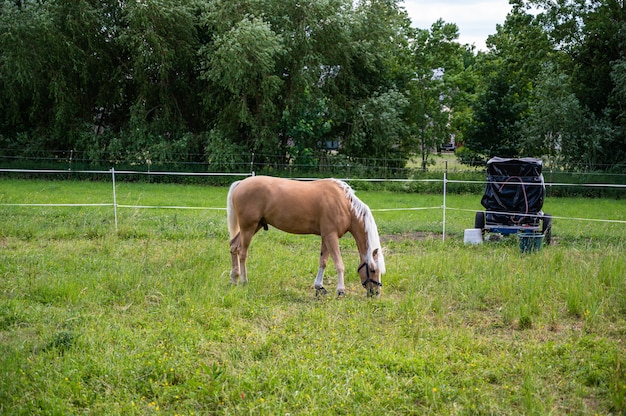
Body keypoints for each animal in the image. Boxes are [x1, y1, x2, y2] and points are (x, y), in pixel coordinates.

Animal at [227, 176, 382, 296]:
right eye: (373, 270)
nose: (376, 293)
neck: (344, 204)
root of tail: (241, 183)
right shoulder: (331, 236)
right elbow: (339, 264)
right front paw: (341, 290)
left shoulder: (326, 236)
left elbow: (323, 262)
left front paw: (319, 287)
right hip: (248, 227)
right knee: (243, 253)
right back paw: (244, 281)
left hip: (254, 226)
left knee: (234, 247)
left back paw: (234, 279)